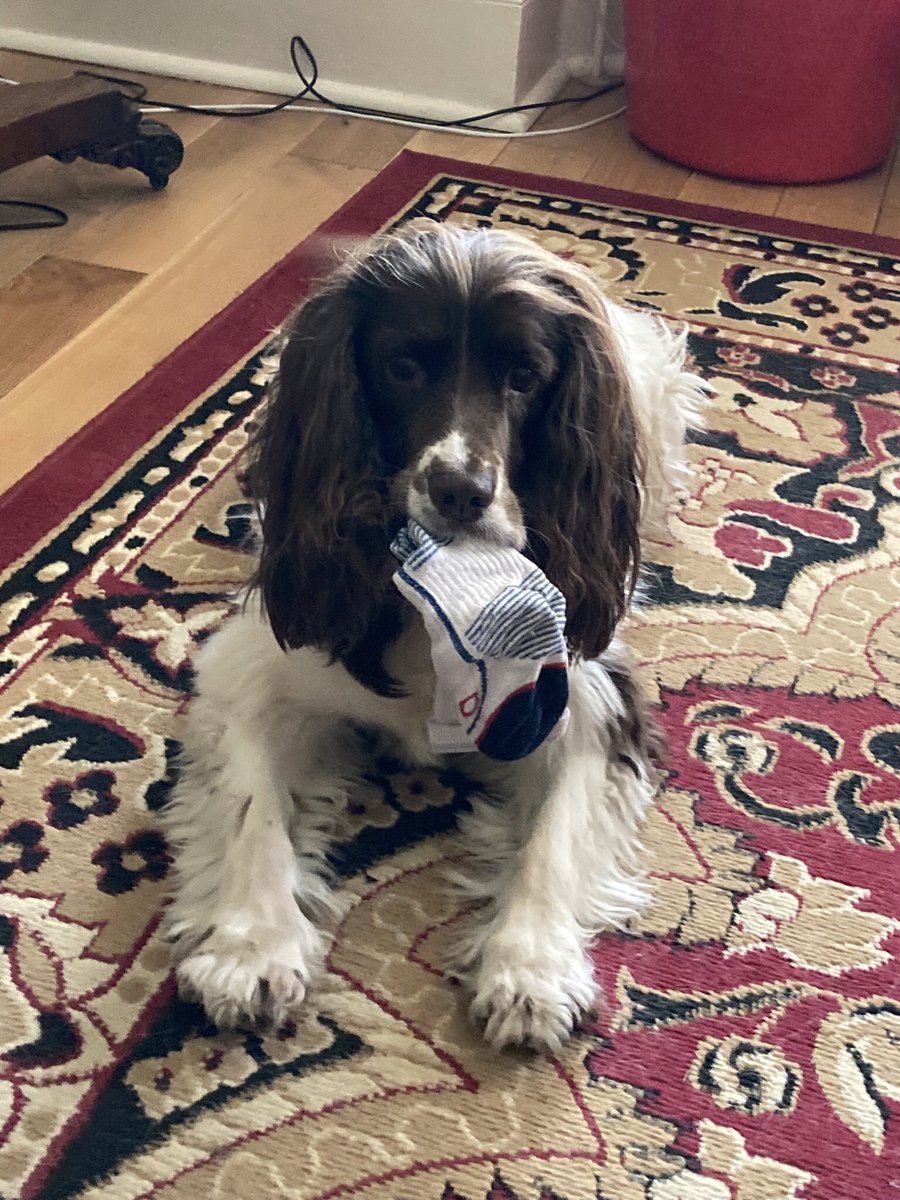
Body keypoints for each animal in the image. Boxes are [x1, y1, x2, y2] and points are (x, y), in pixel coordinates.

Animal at [164, 223, 710, 1051]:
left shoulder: (586, 695)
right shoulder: (253, 669)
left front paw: (530, 968)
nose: (460, 491)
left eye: (526, 376)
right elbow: (250, 807)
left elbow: (553, 838)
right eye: (402, 366)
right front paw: (250, 947)